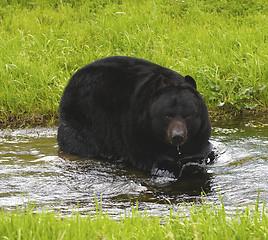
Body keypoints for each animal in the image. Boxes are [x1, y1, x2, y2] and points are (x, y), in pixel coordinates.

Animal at [57, 55, 215, 177]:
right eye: (167, 116)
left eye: (187, 115)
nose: (177, 136)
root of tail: (70, 82)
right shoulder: (138, 128)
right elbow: (149, 157)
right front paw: (168, 168)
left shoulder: (199, 134)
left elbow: (202, 153)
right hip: (82, 119)